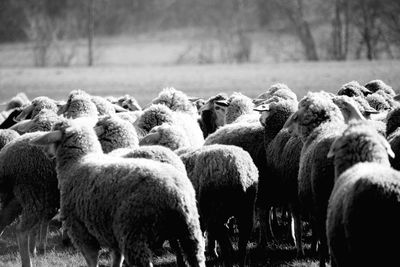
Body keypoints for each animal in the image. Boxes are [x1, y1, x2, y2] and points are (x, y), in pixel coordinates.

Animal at [31, 119, 206, 267]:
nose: (47, 154)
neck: (77, 163)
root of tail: (174, 191)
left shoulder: (81, 232)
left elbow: (92, 260)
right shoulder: (113, 236)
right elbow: (116, 259)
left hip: (134, 233)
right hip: (190, 232)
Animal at [284, 91, 346, 266]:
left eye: (296, 116)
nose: (286, 130)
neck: (324, 125)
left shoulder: (313, 205)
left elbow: (318, 235)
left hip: (322, 198)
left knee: (327, 237)